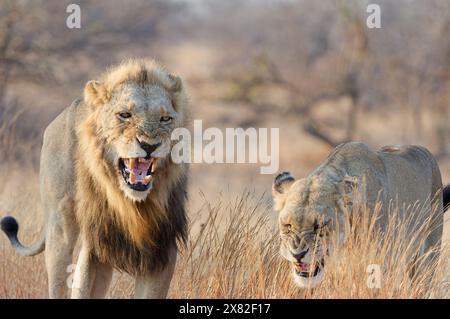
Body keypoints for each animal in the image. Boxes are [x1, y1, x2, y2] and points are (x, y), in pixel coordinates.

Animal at [0, 58, 188, 298]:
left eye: (165, 119)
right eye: (124, 115)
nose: (149, 146)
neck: (131, 205)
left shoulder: (162, 251)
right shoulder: (94, 246)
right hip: (60, 227)